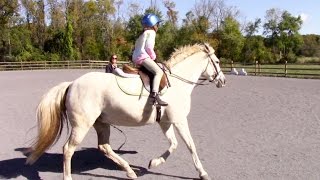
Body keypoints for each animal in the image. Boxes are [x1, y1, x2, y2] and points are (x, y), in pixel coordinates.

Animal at [26, 43, 226, 180]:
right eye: (217, 61)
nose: (223, 81)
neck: (176, 83)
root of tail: (72, 84)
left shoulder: (166, 122)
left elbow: (174, 144)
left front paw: (154, 162)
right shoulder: (179, 120)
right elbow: (190, 146)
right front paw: (203, 173)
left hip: (101, 123)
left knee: (104, 147)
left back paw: (130, 171)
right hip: (82, 126)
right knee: (68, 149)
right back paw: (68, 177)